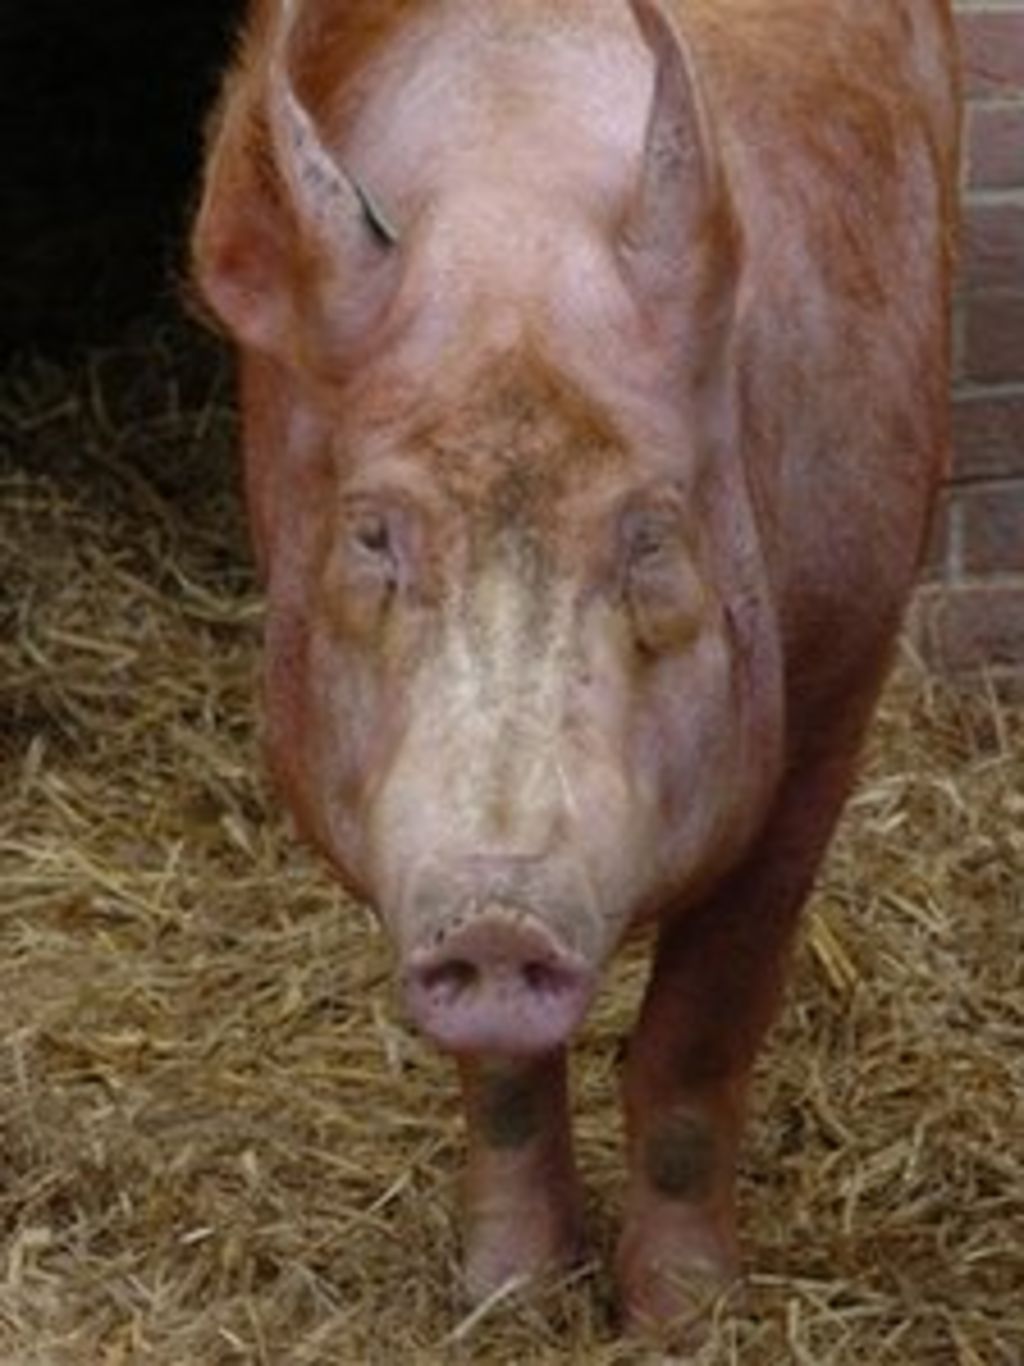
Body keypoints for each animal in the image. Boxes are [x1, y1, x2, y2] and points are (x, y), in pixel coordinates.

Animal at [191, 0, 961, 1333]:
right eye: (372, 533)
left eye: (651, 534)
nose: (500, 912)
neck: (516, 190)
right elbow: (498, 1073)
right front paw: (510, 1301)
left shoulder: (842, 661)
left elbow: (703, 1021)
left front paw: (687, 1318)